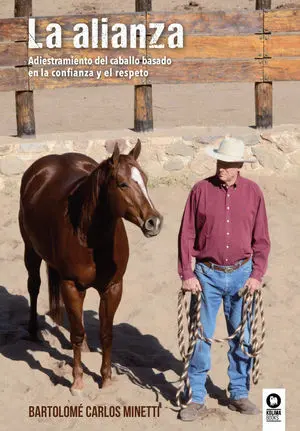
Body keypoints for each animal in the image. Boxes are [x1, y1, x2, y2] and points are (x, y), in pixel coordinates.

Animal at [18, 141, 163, 394]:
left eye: (145, 178)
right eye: (122, 183)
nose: (153, 222)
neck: (90, 236)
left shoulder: (113, 288)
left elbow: (106, 334)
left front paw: (106, 379)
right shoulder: (70, 285)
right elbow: (76, 333)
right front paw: (77, 381)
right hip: (31, 251)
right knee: (34, 287)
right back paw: (33, 330)